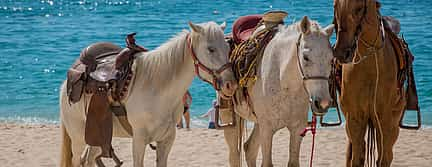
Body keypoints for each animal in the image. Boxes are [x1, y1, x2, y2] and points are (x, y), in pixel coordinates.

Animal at [59, 21, 238, 167]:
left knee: (89, 159)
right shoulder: (139, 139)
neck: (158, 91)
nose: (231, 84)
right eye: (211, 49)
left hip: (97, 137)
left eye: (228, 47)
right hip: (78, 138)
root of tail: (67, 81)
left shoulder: (167, 139)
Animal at [221, 16, 336, 167]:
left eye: (331, 59)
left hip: (259, 123)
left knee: (249, 148)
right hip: (232, 119)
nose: (323, 103)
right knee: (235, 155)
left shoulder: (297, 129)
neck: (284, 81)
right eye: (306, 57)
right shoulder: (267, 130)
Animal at [334, 0, 404, 167]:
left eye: (359, 8)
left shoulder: (384, 120)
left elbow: (383, 159)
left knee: (387, 154)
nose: (341, 52)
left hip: (392, 125)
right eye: (335, 6)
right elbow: (356, 158)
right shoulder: (354, 118)